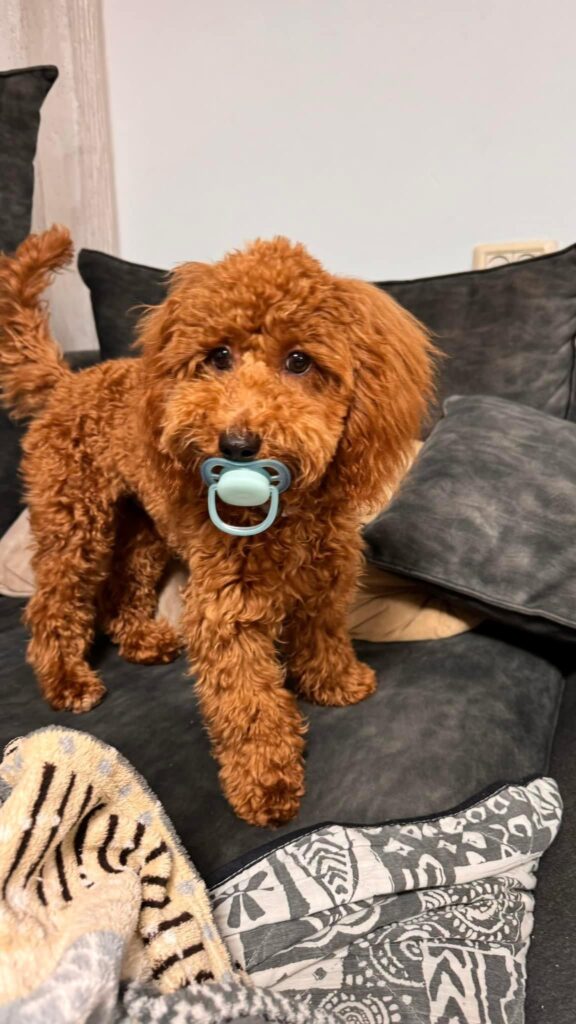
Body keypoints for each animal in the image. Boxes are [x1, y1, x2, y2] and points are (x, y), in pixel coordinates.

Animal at [0, 228, 430, 827]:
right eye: (218, 356)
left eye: (300, 361)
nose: (237, 444)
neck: (288, 517)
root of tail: (68, 381)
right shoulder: (228, 609)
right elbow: (249, 703)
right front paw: (266, 784)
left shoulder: (325, 583)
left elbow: (324, 636)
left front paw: (338, 683)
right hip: (74, 520)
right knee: (54, 604)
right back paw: (66, 680)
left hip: (143, 527)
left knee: (123, 585)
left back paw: (141, 641)